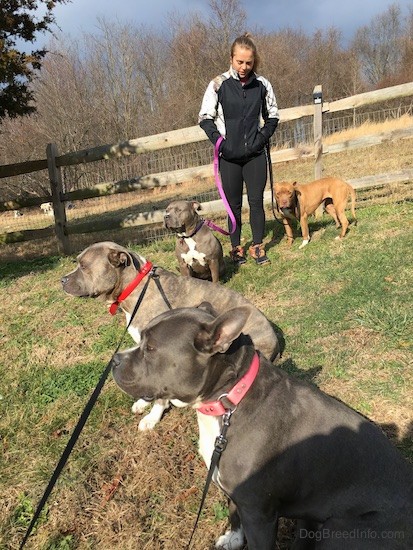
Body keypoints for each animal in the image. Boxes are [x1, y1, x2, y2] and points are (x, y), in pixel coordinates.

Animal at [61, 244, 280, 434]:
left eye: (83, 266)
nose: (62, 280)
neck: (135, 286)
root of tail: (276, 339)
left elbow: (160, 394)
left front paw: (152, 417)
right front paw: (143, 402)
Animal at [110, 304, 412, 548]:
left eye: (150, 348)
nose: (114, 360)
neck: (229, 400)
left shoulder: (259, 514)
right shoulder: (236, 492)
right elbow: (233, 512)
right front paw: (232, 539)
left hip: (340, 530)